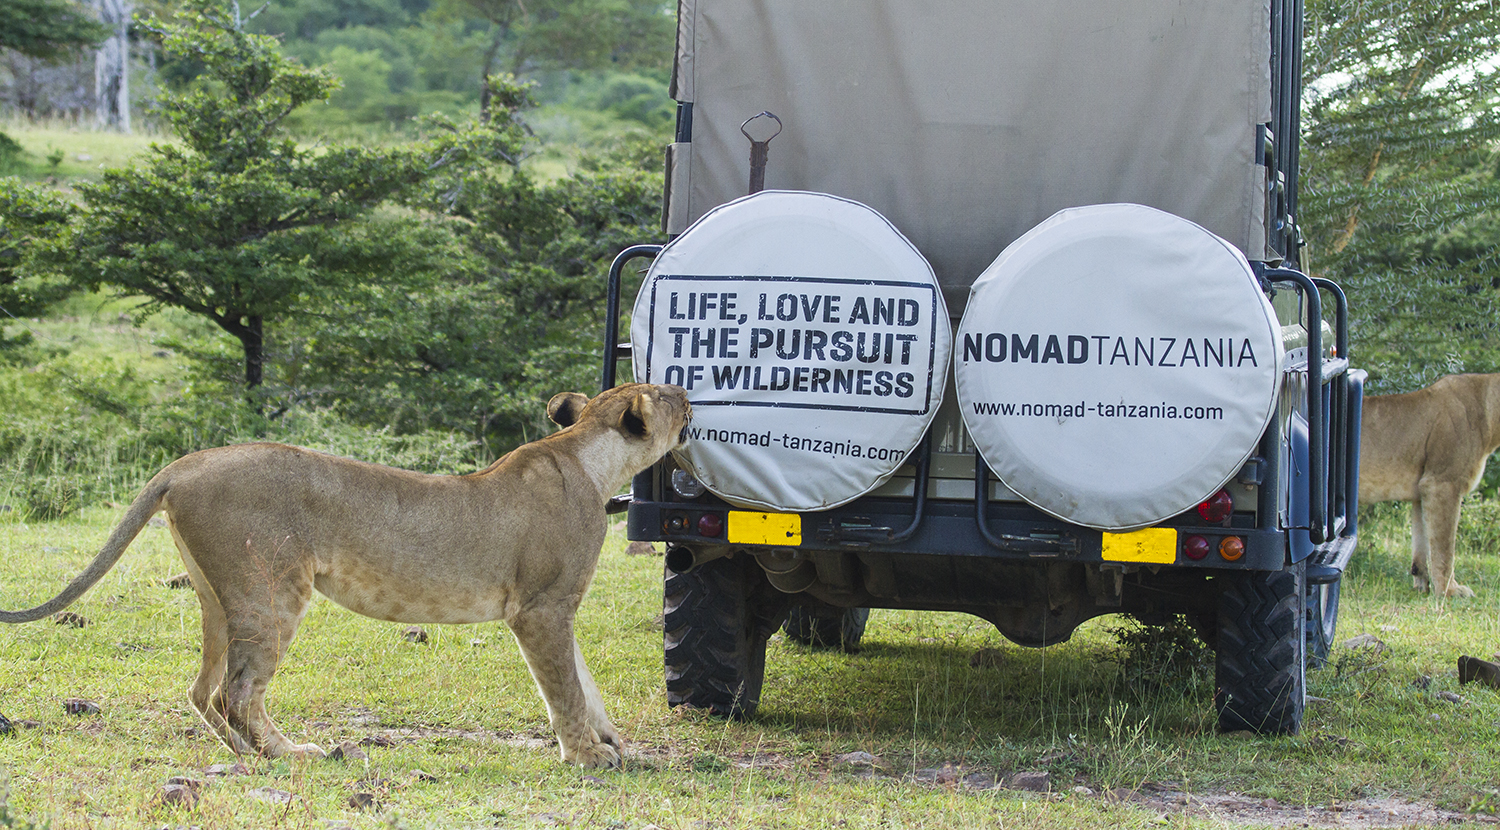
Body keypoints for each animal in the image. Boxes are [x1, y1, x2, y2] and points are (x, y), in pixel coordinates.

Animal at [1, 383, 691, 768]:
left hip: (219, 599)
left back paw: (247, 755)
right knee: (236, 693)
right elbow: (564, 689)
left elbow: (583, 679)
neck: (592, 461)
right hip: (274, 591)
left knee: (203, 690)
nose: (687, 392)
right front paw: (588, 756)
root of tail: (185, 464)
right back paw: (291, 755)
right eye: (664, 394)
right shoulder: (540, 608)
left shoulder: (556, 605)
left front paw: (610, 739)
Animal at [1359, 373, 1500, 598]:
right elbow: (1444, 548)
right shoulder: (1442, 483)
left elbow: (1423, 544)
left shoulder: (1422, 491)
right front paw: (1449, 591)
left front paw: (1422, 586)